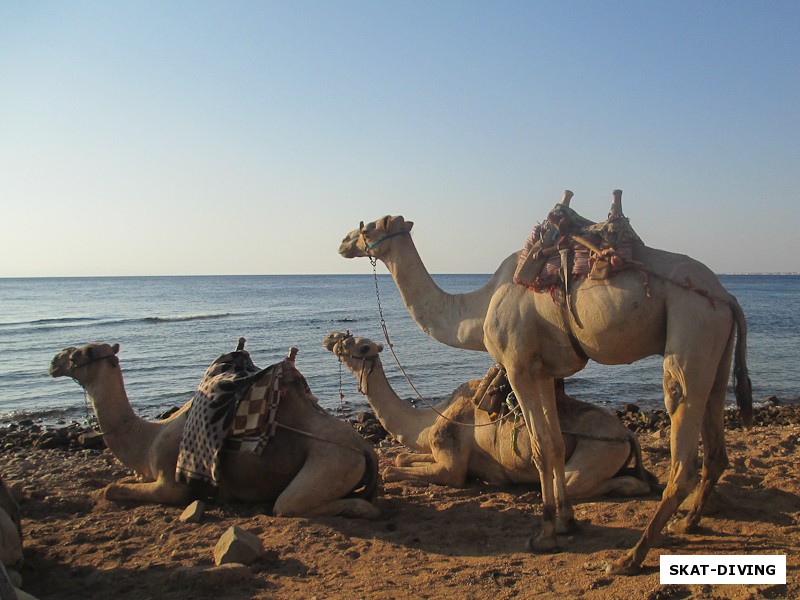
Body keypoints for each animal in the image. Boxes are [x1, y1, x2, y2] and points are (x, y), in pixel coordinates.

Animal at [49, 342, 382, 520]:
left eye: (83, 353)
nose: (54, 361)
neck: (148, 439)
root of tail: (365, 448)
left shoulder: (171, 482)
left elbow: (112, 488)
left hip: (332, 461)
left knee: (289, 504)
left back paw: (359, 509)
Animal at [324, 332, 656, 496]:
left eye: (363, 347)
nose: (334, 338)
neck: (433, 417)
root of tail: (627, 434)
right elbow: (404, 457)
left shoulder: (452, 465)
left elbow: (396, 470)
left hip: (600, 449)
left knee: (578, 483)